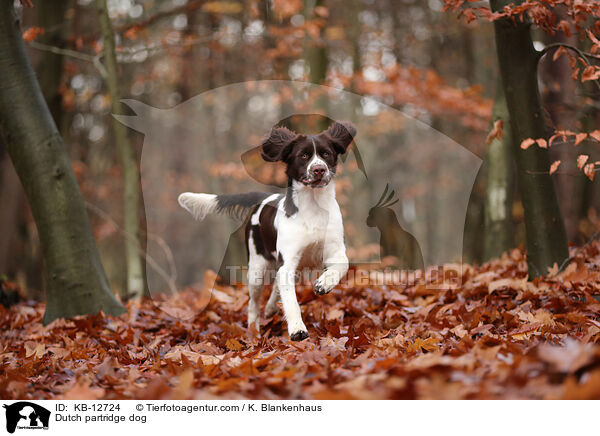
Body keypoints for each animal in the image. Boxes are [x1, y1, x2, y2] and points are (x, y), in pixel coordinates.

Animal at [178, 120, 356, 340]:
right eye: (304, 155)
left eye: (326, 154)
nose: (319, 170)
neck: (314, 206)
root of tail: (263, 198)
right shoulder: (287, 260)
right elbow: (290, 299)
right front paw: (297, 329)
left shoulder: (333, 249)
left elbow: (342, 265)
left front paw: (324, 283)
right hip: (256, 268)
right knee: (254, 304)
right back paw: (253, 332)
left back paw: (271, 308)